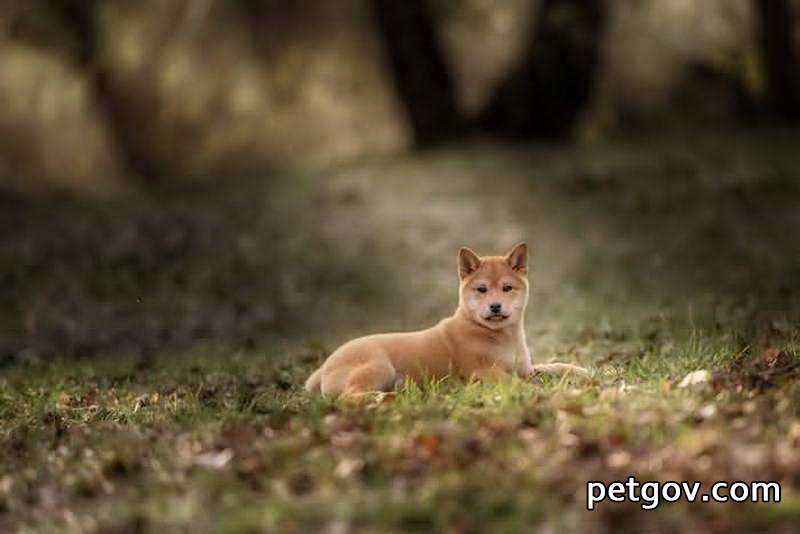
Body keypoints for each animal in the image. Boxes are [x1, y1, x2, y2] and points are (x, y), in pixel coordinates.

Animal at [304, 243, 588, 398]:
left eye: (507, 288)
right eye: (482, 290)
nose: (495, 306)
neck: (501, 336)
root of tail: (323, 367)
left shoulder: (526, 368)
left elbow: (555, 366)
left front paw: (582, 372)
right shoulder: (483, 372)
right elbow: (515, 383)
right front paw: (542, 392)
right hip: (378, 365)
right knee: (350, 397)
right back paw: (383, 399)